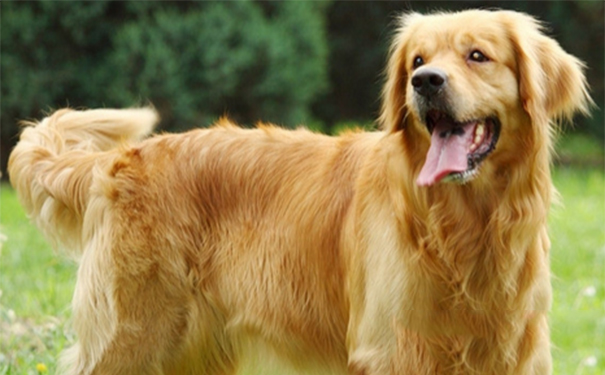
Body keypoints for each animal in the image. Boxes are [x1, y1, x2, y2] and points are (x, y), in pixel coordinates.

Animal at [5, 8, 588, 375]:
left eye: (477, 55)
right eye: (418, 61)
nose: (426, 84)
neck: (465, 224)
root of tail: (119, 159)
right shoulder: (393, 350)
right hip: (131, 338)